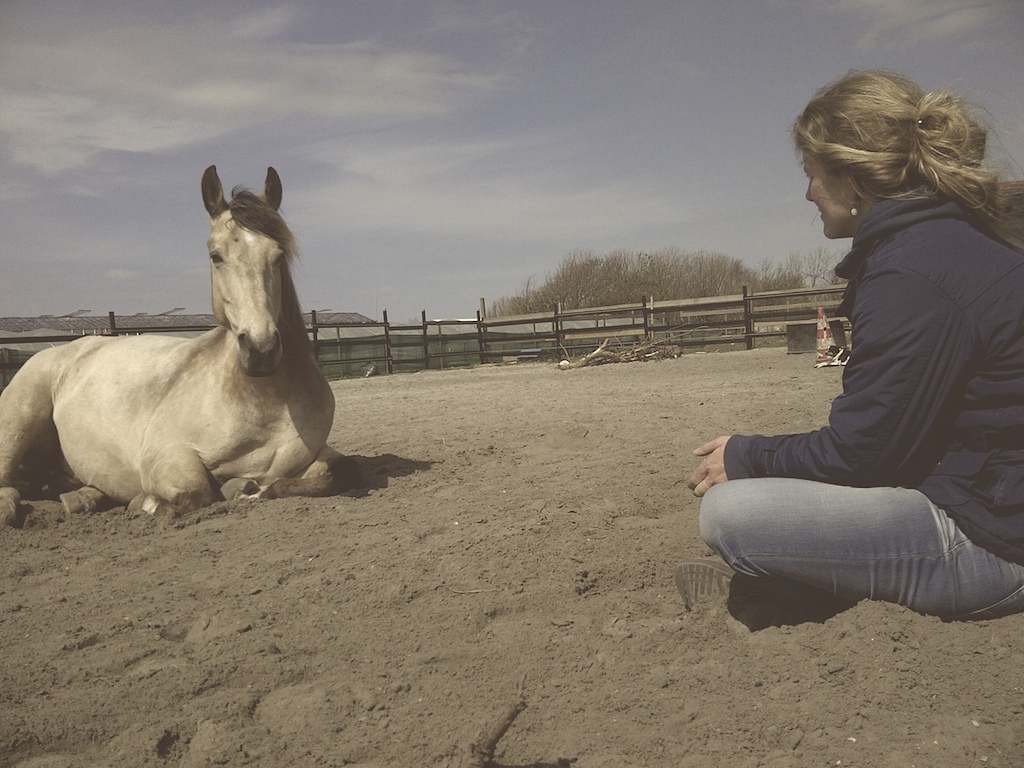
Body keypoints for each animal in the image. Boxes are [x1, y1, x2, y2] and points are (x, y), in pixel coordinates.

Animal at [0, 166, 362, 528]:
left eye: (278, 255)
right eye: (215, 256)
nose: (261, 349)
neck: (265, 401)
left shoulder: (313, 454)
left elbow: (340, 472)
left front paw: (247, 489)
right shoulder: (168, 457)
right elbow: (197, 495)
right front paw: (149, 503)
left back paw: (78, 497)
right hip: (18, 425)